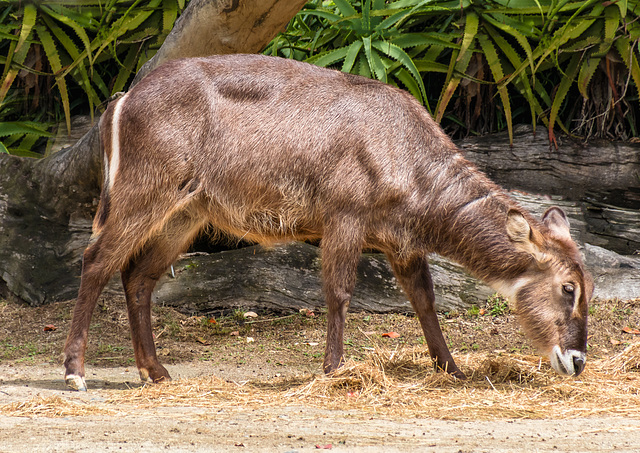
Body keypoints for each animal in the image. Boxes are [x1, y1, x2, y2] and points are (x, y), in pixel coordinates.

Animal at [62, 55, 592, 388]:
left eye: (585, 284)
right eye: (568, 287)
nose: (578, 360)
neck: (409, 162)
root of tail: (122, 98)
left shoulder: (401, 243)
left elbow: (424, 300)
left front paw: (452, 369)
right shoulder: (344, 217)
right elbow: (338, 293)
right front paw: (334, 370)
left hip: (188, 211)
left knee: (138, 275)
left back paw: (156, 372)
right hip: (143, 192)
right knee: (96, 260)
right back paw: (75, 372)